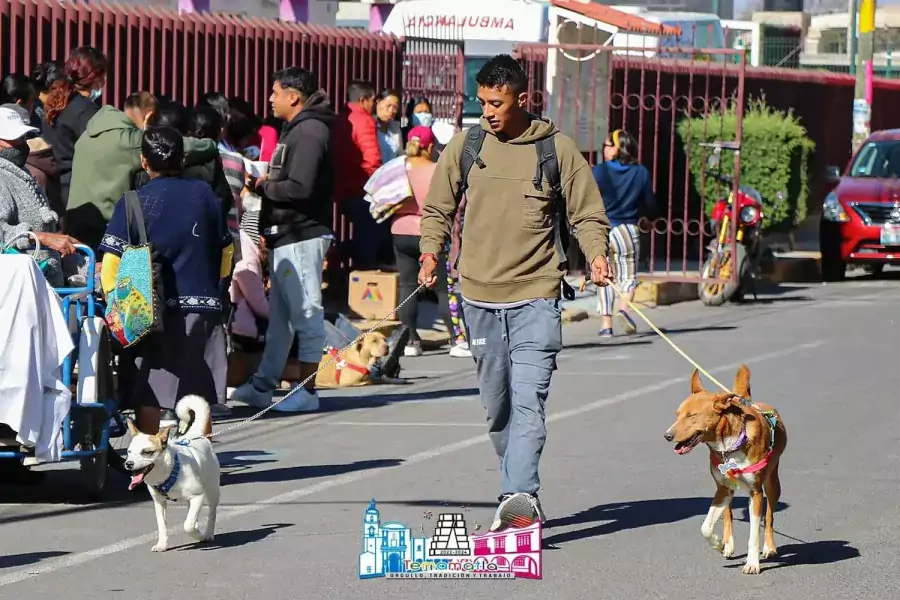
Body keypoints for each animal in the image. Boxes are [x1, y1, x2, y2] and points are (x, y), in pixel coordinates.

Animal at [125, 394, 222, 552]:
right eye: (129, 452)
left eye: (147, 452)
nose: (128, 464)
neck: (168, 472)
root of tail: (197, 434)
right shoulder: (159, 503)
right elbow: (162, 526)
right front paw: (162, 544)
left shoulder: (198, 496)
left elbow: (187, 526)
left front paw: (197, 535)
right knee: (191, 512)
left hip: (212, 491)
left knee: (211, 512)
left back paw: (207, 534)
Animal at [664, 364, 784, 576]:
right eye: (677, 414)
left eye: (692, 416)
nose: (667, 435)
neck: (729, 444)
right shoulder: (722, 489)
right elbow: (706, 527)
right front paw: (719, 544)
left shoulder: (756, 493)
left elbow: (754, 533)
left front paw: (752, 563)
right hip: (727, 489)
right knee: (728, 515)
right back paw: (728, 544)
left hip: (772, 484)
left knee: (769, 516)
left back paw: (769, 547)